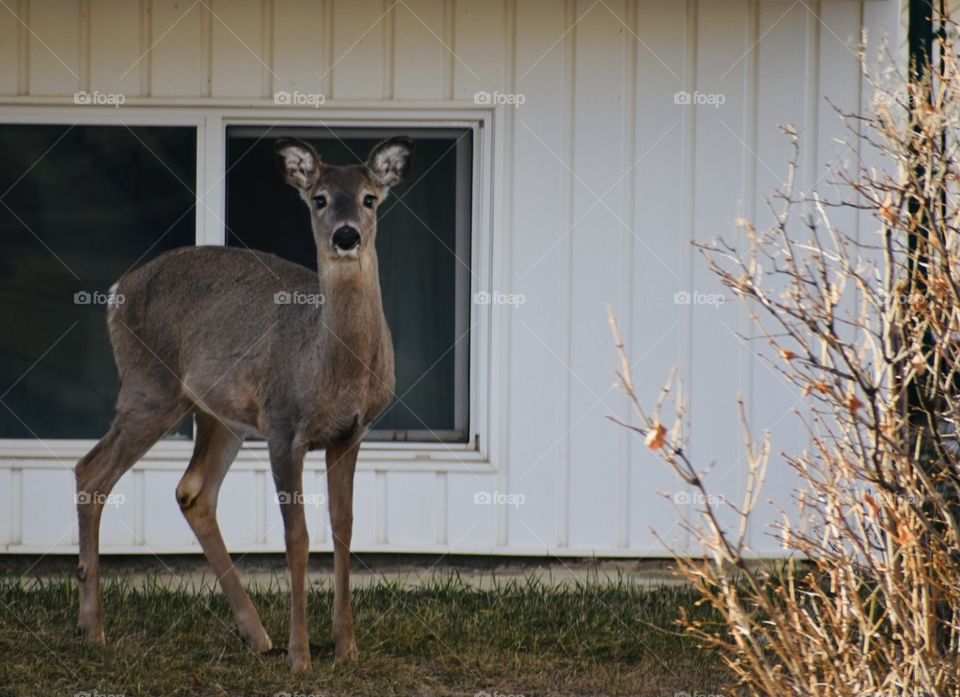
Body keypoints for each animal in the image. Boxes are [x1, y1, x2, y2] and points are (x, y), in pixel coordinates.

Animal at [74, 136, 413, 672]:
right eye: (319, 198)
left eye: (370, 198)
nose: (346, 236)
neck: (330, 367)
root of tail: (114, 292)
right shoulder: (282, 426)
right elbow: (297, 538)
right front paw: (301, 656)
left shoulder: (351, 434)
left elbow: (343, 528)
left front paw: (346, 647)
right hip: (151, 387)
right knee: (92, 471)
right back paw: (93, 627)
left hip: (218, 415)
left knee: (192, 491)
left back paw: (255, 634)